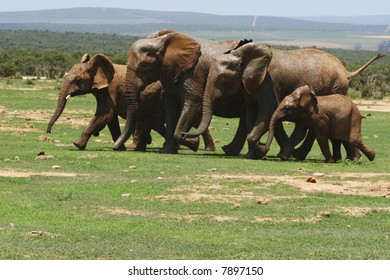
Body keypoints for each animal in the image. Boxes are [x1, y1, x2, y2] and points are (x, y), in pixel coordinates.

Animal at [46, 53, 215, 152]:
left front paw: (77, 144)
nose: (48, 132)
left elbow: (104, 115)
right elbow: (111, 120)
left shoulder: (111, 89)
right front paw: (119, 147)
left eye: (76, 80)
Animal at [112, 29, 247, 156]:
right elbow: (171, 109)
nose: (115, 147)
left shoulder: (194, 73)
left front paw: (192, 142)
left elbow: (193, 103)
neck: (162, 42)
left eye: (144, 66)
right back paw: (230, 151)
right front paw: (167, 151)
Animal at [182, 41, 380, 160]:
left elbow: (266, 112)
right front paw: (252, 154)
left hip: (334, 88)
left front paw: (260, 150)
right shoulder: (251, 85)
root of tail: (346, 71)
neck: (245, 56)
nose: (184, 134)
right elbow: (250, 114)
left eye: (223, 78)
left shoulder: (268, 83)